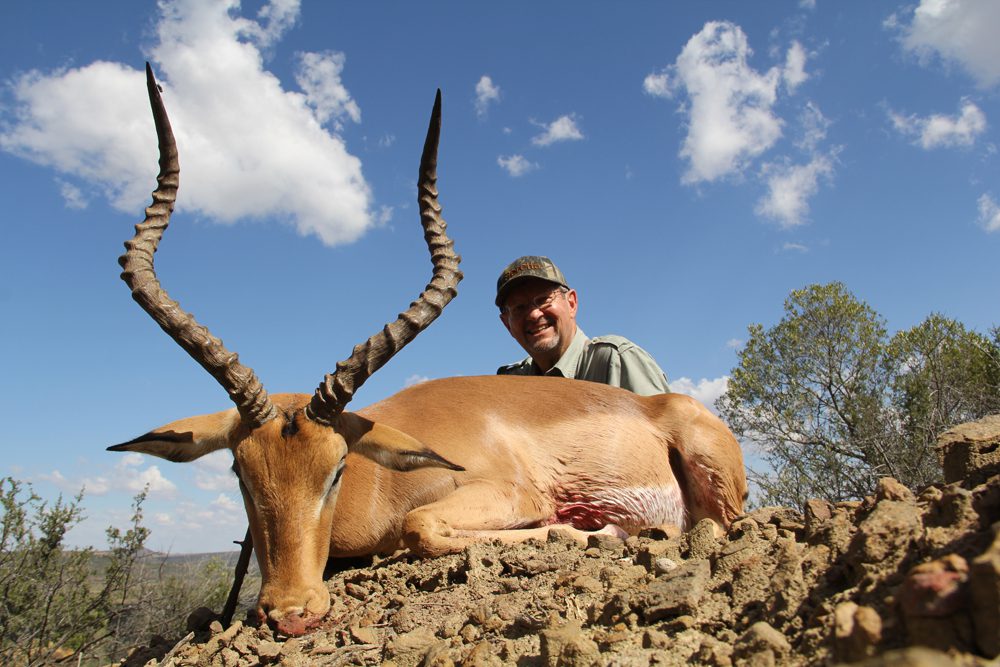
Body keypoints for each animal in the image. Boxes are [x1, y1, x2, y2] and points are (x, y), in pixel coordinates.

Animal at [110, 65, 747, 637]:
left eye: (337, 469)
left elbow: (420, 528)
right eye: (240, 472)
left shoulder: (506, 492)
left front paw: (589, 529)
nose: (292, 614)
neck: (381, 480)